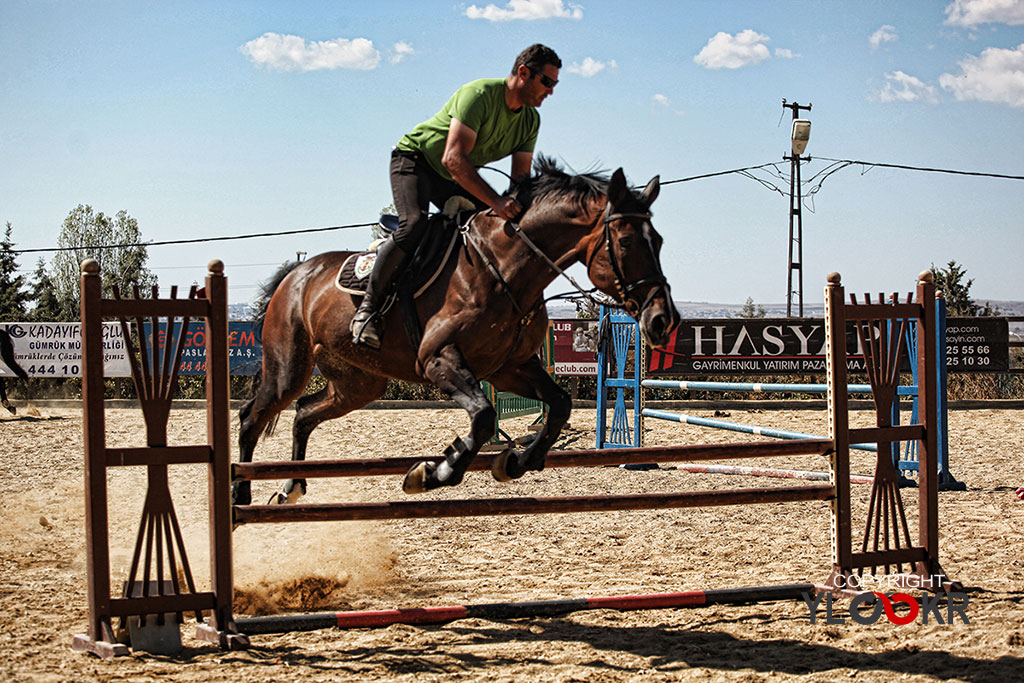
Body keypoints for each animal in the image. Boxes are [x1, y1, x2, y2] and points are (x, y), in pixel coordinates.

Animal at [233, 157, 679, 505]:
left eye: (658, 240)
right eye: (626, 242)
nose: (662, 319)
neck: (503, 269)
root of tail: (297, 273)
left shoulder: (510, 367)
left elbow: (560, 405)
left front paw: (517, 461)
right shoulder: (438, 360)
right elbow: (483, 417)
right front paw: (435, 472)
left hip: (358, 383)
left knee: (304, 413)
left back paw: (290, 486)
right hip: (288, 366)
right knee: (253, 416)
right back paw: (241, 492)